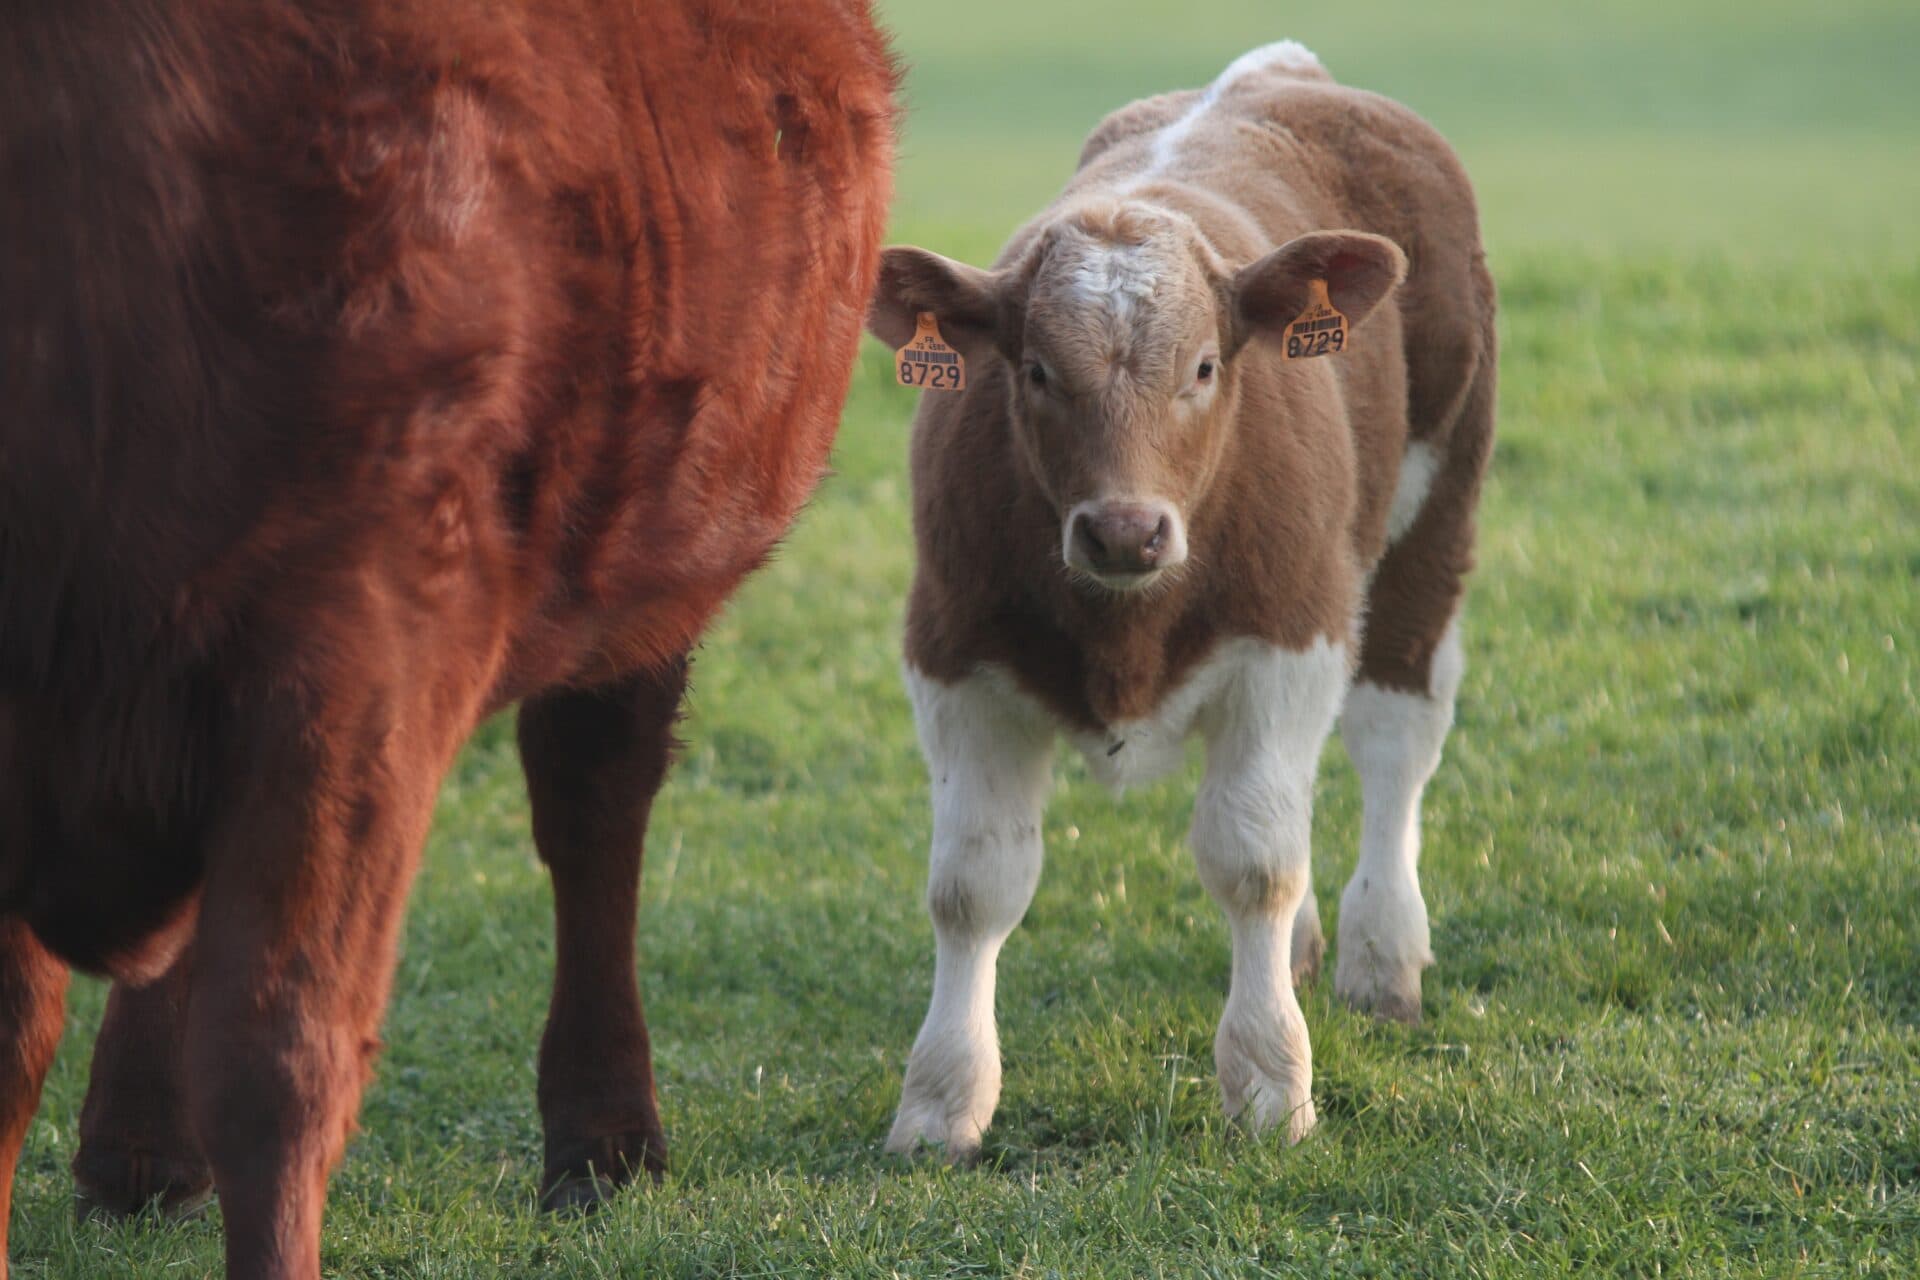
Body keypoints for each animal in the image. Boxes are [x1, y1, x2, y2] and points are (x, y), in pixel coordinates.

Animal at [0, 5, 898, 1274]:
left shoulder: (356, 659)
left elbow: (279, 1056)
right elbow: (13, 1043)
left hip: (634, 583)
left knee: (594, 809)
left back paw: (604, 1139)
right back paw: (138, 1155)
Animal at [871, 45, 1497, 1159]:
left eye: (1204, 366)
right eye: (1036, 370)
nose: (1126, 530)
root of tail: (1282, 68)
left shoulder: (1292, 633)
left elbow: (1253, 860)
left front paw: (1270, 1081)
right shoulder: (950, 652)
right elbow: (973, 883)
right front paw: (942, 1100)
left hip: (1436, 505)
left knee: (1394, 737)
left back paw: (1382, 956)